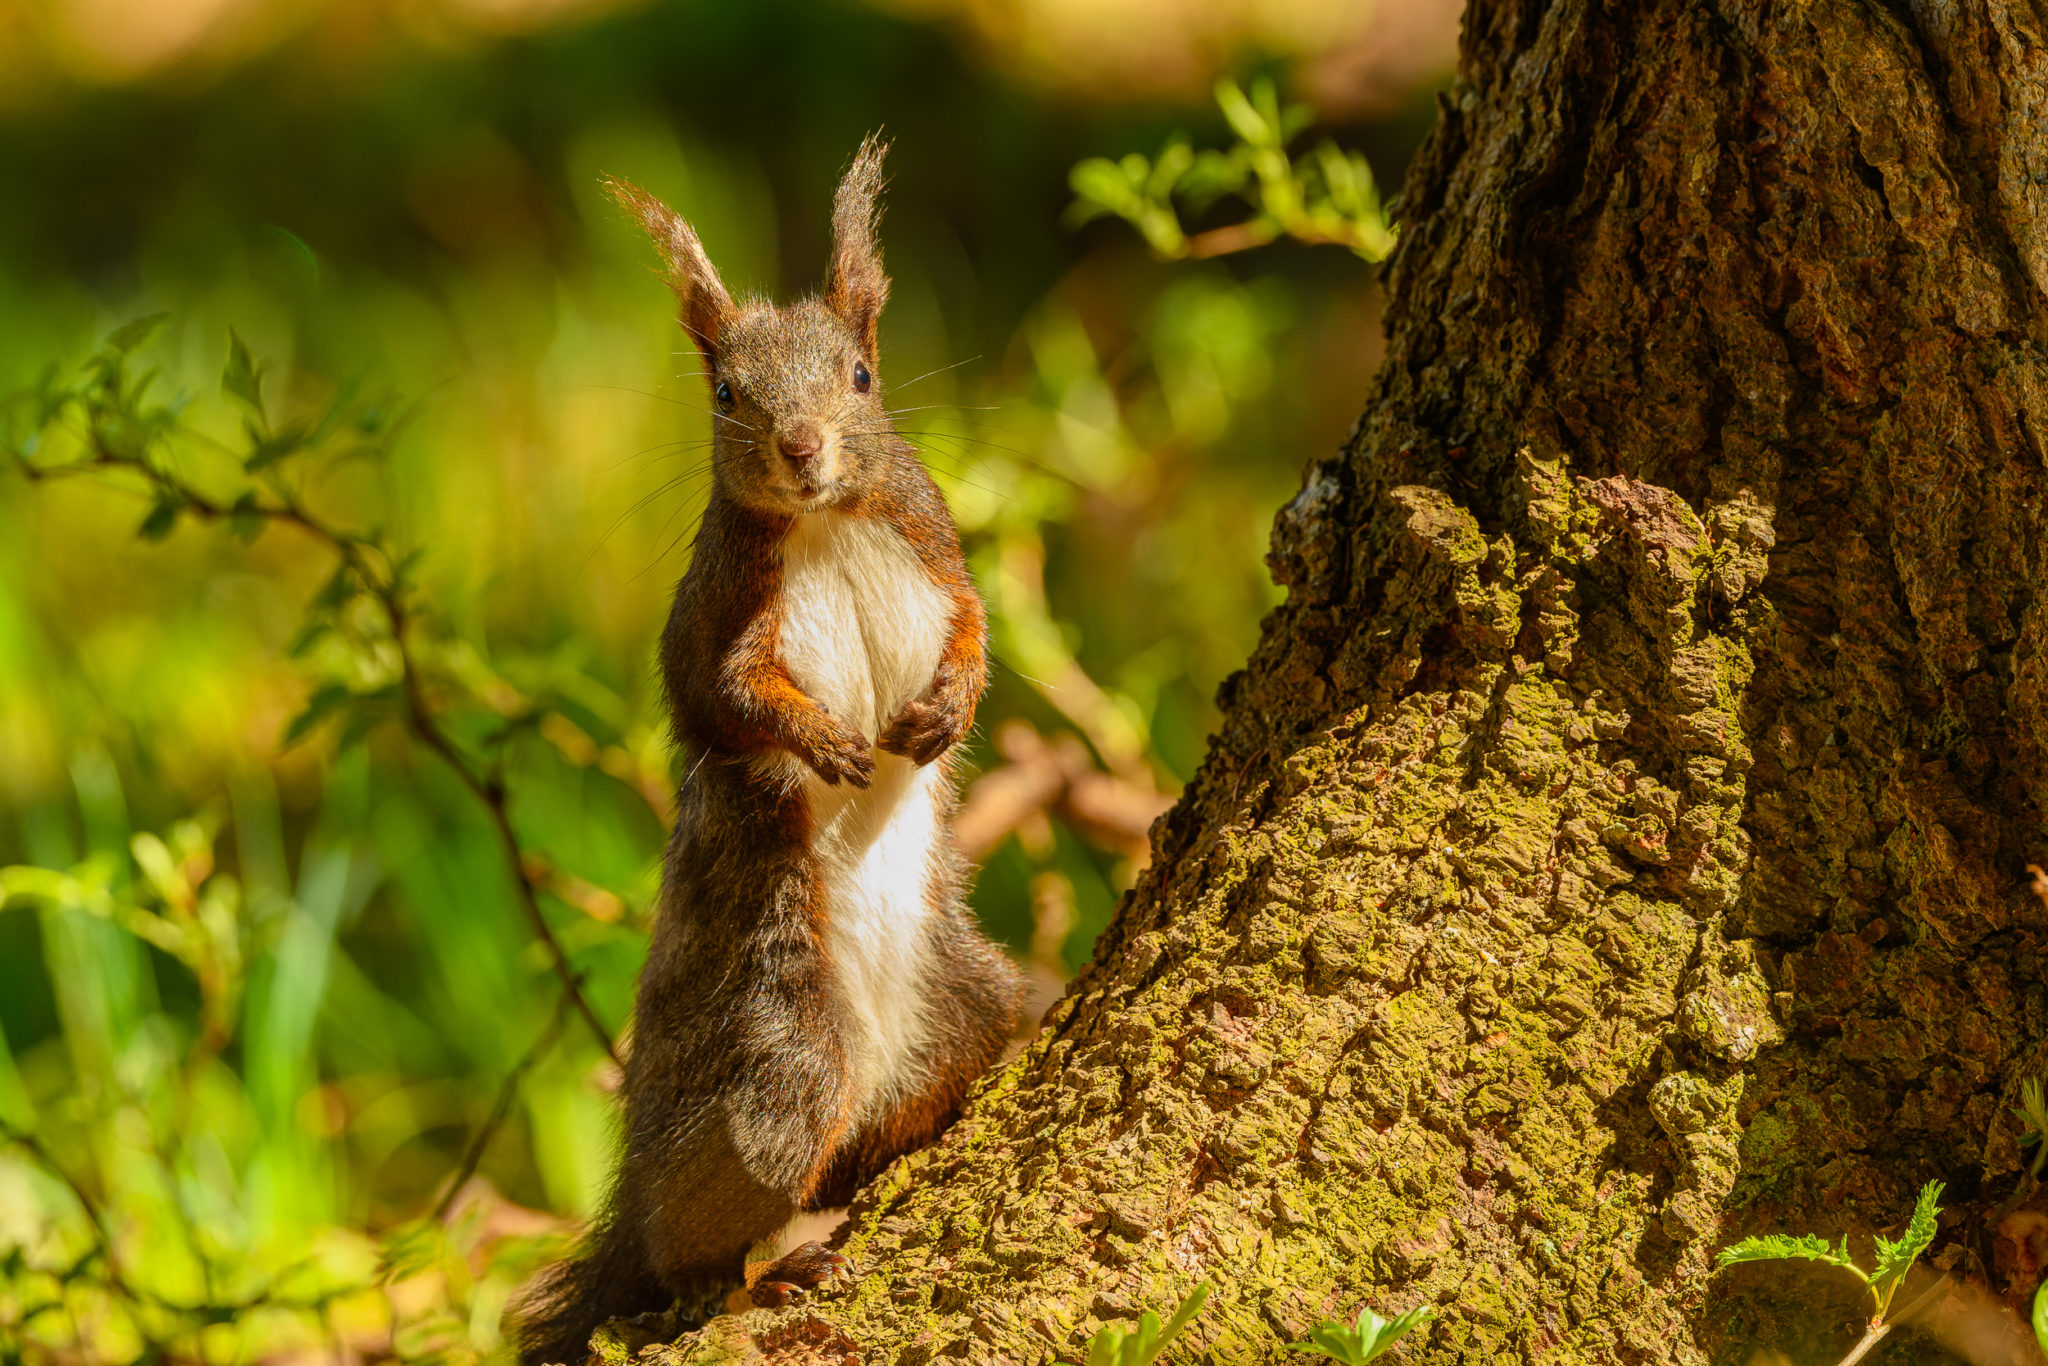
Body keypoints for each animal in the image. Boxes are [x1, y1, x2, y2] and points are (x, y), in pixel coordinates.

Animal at [512, 133, 1024, 1359]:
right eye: (724, 392)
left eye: (862, 376)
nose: (800, 448)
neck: (828, 521)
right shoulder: (717, 623)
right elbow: (737, 698)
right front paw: (822, 739)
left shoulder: (938, 553)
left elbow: (975, 628)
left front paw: (945, 710)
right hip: (781, 1062)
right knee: (691, 1245)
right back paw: (753, 1279)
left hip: (970, 1002)